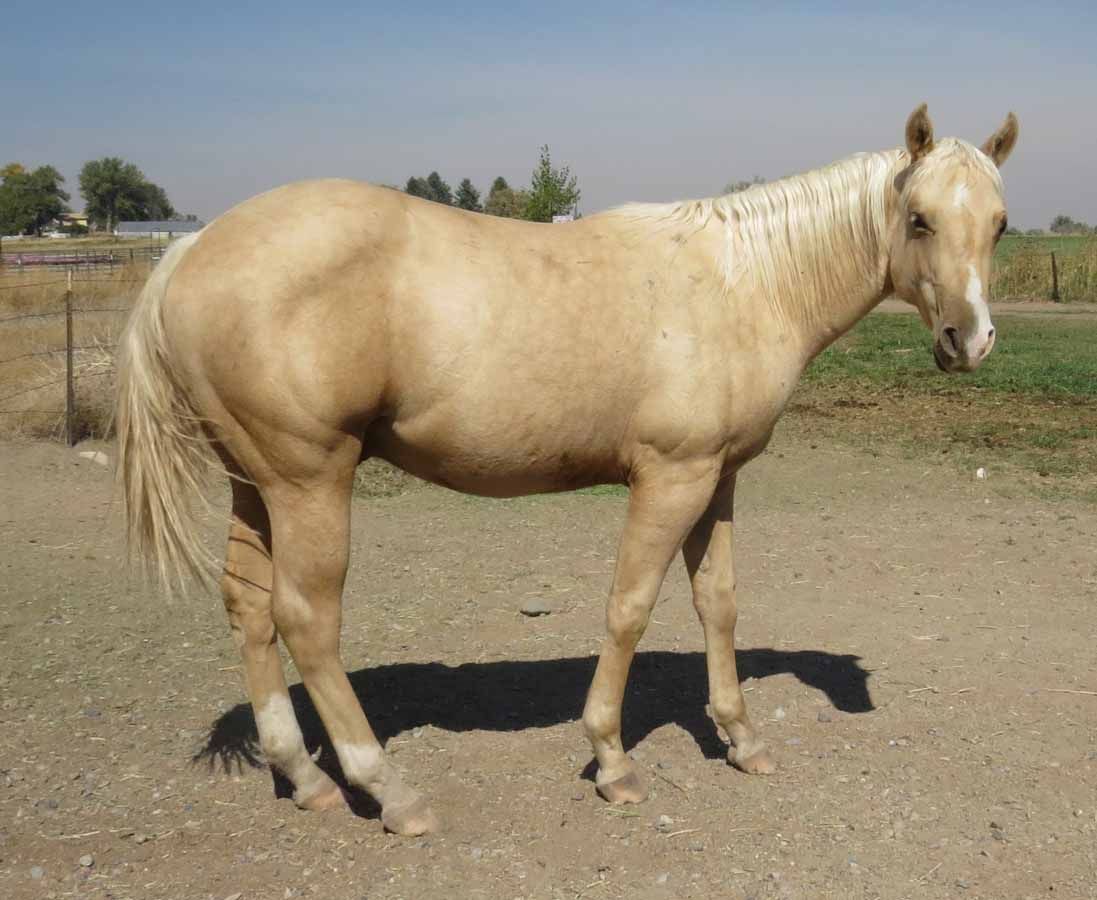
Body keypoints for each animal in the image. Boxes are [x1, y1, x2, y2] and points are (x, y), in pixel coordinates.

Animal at [116, 104, 1018, 835]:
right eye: (918, 218)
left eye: (1000, 224)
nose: (968, 341)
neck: (741, 281)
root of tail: (193, 246)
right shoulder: (670, 478)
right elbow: (629, 609)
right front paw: (612, 761)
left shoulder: (717, 479)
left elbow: (718, 604)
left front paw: (739, 736)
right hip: (310, 484)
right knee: (307, 621)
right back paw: (389, 791)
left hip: (256, 487)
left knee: (248, 607)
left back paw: (305, 778)